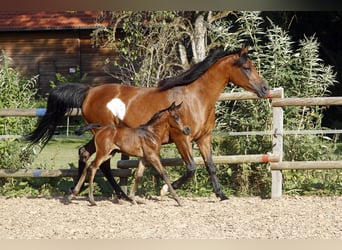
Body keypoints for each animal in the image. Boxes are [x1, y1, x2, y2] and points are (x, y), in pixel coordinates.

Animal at [26, 46, 270, 201]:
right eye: (246, 68)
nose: (265, 89)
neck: (196, 98)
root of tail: (89, 92)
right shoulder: (182, 138)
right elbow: (191, 168)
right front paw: (164, 191)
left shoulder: (203, 138)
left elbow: (210, 166)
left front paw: (221, 195)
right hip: (105, 136)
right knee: (101, 163)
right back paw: (116, 195)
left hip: (101, 136)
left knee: (85, 154)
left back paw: (80, 191)